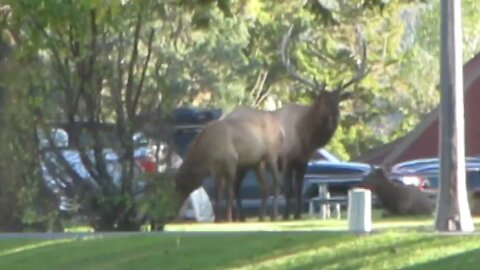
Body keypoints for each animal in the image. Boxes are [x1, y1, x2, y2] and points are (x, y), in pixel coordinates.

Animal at [278, 24, 368, 219]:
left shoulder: (302, 160)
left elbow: (297, 190)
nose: (334, 116)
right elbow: (287, 190)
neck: (303, 136)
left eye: (338, 100)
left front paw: (297, 215)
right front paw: (286, 216)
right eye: (322, 100)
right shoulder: (287, 159)